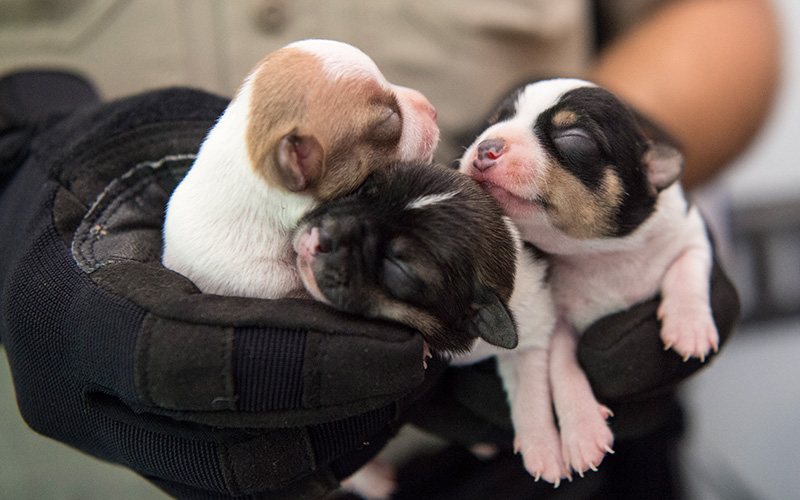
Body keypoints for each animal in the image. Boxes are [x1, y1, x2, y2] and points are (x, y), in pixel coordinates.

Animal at [456, 78, 720, 484]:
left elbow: (687, 267)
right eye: (493, 123)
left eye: (574, 138)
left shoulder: (691, 231)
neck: (599, 254)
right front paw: (583, 434)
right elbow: (563, 369)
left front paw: (689, 326)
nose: (486, 146)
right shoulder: (557, 323)